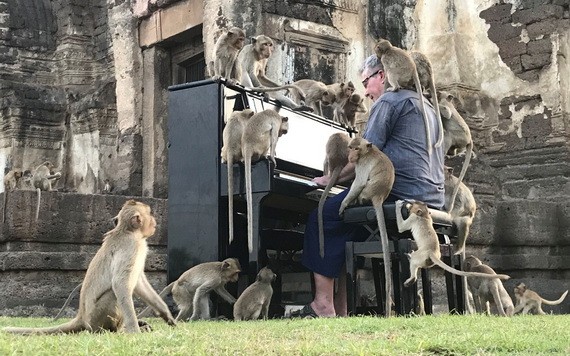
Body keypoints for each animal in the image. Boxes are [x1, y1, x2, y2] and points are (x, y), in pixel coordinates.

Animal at [2, 200, 175, 334]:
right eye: (150, 214)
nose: (154, 221)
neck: (128, 231)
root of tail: (82, 317)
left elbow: (139, 283)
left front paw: (166, 313)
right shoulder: (131, 247)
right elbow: (120, 283)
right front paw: (134, 330)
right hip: (96, 317)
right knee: (113, 294)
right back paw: (118, 330)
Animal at [240, 110, 286, 252]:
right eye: (284, 131)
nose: (282, 135)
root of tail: (247, 146)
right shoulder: (276, 122)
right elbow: (274, 138)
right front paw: (273, 158)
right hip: (261, 143)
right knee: (269, 136)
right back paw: (264, 157)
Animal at [336, 138, 392, 318]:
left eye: (356, 149)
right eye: (350, 147)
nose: (350, 156)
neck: (367, 151)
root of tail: (379, 196)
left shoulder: (362, 164)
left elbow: (358, 182)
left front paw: (343, 204)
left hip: (366, 193)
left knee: (361, 189)